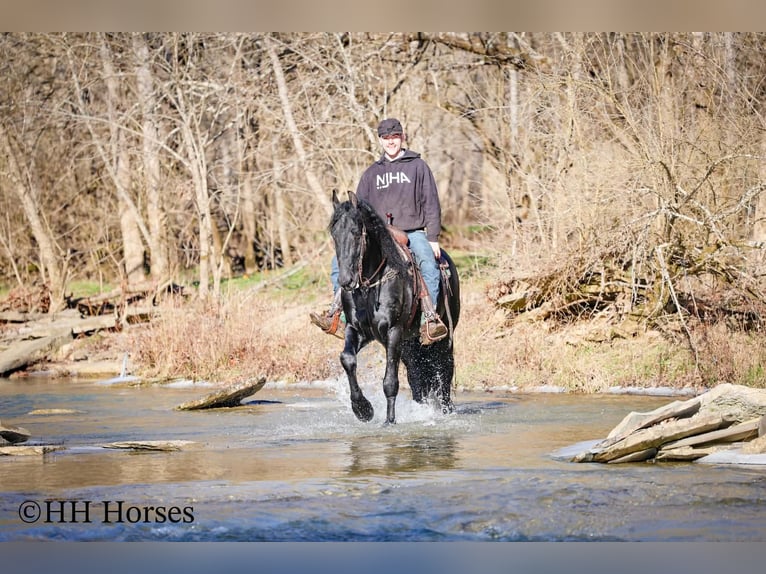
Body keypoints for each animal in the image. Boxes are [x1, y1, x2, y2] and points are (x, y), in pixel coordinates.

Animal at [329, 190, 460, 424]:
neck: (371, 286)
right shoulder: (357, 330)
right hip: (410, 345)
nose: (345, 281)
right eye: (334, 234)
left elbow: (390, 381)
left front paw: (389, 421)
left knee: (445, 370)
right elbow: (347, 359)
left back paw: (446, 411)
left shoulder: (393, 331)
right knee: (417, 376)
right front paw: (362, 409)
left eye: (356, 232)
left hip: (443, 338)